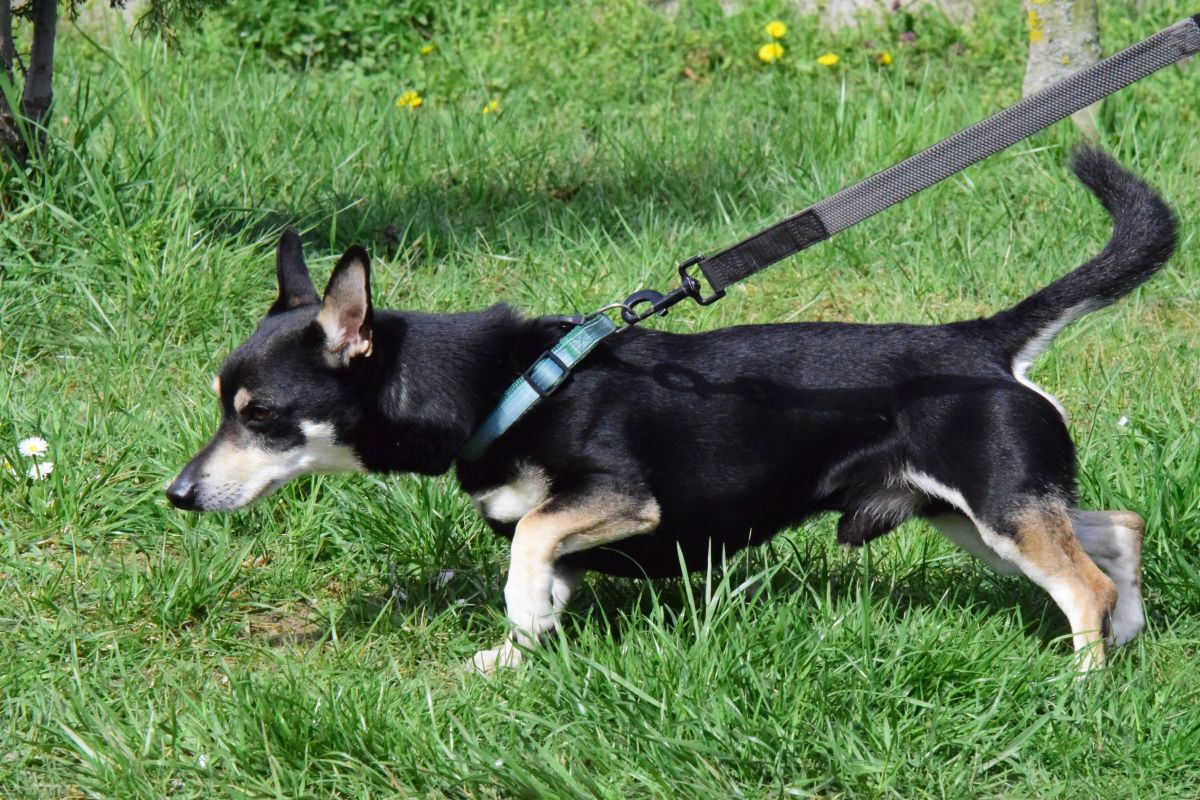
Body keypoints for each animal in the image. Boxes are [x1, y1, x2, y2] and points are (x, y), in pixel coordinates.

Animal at [168, 148, 1176, 672]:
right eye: (226, 406)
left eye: (261, 415)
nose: (177, 494)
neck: (499, 383)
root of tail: (981, 342)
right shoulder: (575, 523)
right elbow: (538, 571)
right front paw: (515, 655)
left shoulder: (615, 499)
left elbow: (528, 545)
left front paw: (522, 623)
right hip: (976, 514)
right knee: (1115, 530)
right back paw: (1126, 638)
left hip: (995, 508)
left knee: (1081, 583)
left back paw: (1081, 682)